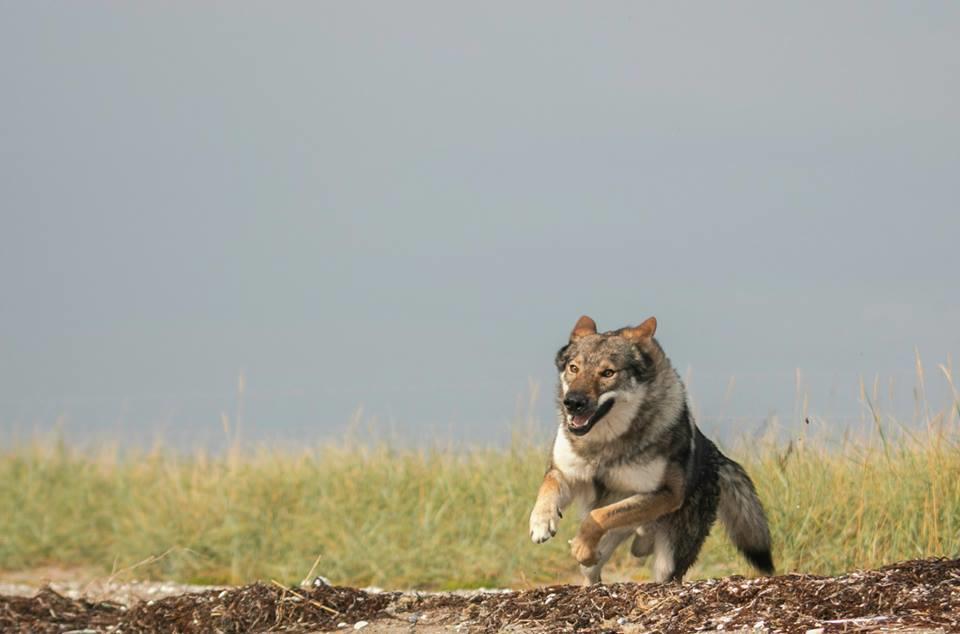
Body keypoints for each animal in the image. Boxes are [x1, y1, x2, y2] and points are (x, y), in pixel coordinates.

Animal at [528, 314, 776, 584]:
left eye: (607, 373)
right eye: (574, 368)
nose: (573, 403)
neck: (605, 444)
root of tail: (716, 455)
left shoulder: (664, 494)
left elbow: (599, 516)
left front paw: (582, 545)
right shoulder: (565, 473)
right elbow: (548, 489)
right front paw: (541, 523)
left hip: (667, 561)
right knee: (591, 571)